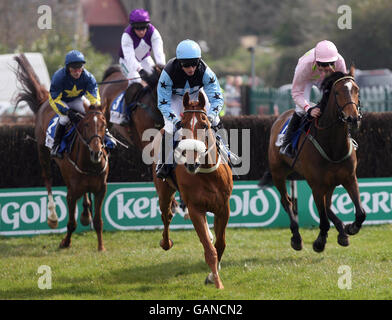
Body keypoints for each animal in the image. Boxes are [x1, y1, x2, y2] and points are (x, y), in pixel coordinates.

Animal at [13, 53, 108, 251]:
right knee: (48, 180)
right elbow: (71, 223)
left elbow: (98, 221)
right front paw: (65, 242)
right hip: (42, 151)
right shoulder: (71, 193)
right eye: (86, 125)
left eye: (104, 125)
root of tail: (43, 101)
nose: (96, 153)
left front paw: (101, 247)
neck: (90, 164)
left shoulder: (101, 189)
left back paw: (85, 214)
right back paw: (52, 217)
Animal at [152, 91, 233, 288]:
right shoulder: (195, 208)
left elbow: (220, 244)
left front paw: (213, 276)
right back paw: (166, 242)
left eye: (204, 124)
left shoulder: (223, 207)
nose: (191, 162)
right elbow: (210, 250)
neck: (208, 175)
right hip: (164, 191)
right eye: (182, 125)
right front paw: (217, 283)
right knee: (166, 215)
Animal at [258, 67, 366, 252]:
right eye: (337, 92)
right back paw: (296, 237)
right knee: (287, 201)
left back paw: (342, 232)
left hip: (331, 182)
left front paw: (350, 228)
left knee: (327, 205)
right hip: (278, 173)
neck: (333, 146)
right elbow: (322, 219)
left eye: (356, 90)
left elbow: (360, 212)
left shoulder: (349, 178)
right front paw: (320, 241)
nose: (353, 118)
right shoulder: (316, 184)